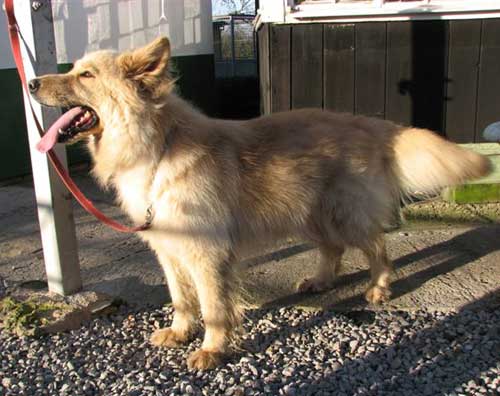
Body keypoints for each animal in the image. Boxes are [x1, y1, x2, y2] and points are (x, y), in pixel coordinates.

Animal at [29, 36, 490, 368]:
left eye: (85, 74)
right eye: (75, 69)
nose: (30, 83)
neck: (158, 146)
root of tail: (372, 124)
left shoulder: (206, 255)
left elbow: (214, 306)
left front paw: (212, 349)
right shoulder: (170, 250)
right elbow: (181, 298)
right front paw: (180, 331)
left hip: (343, 214)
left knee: (377, 248)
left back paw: (378, 288)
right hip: (309, 215)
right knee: (333, 249)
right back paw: (321, 280)